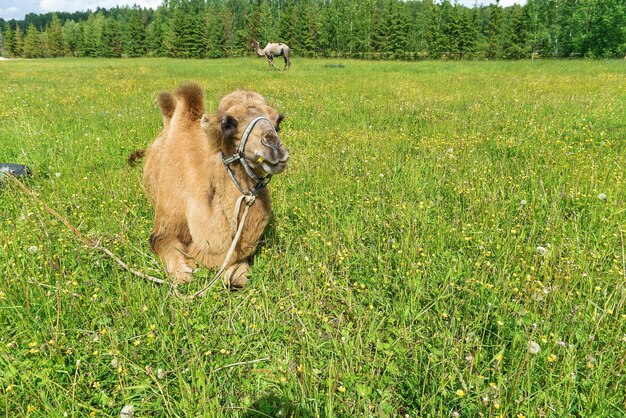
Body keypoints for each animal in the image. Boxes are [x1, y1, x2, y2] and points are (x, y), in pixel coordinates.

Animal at [141, 83, 288, 290]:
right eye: (228, 123)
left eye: (278, 121)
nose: (274, 148)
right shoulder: (163, 228)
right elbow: (172, 260)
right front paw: (183, 271)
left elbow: (238, 277)